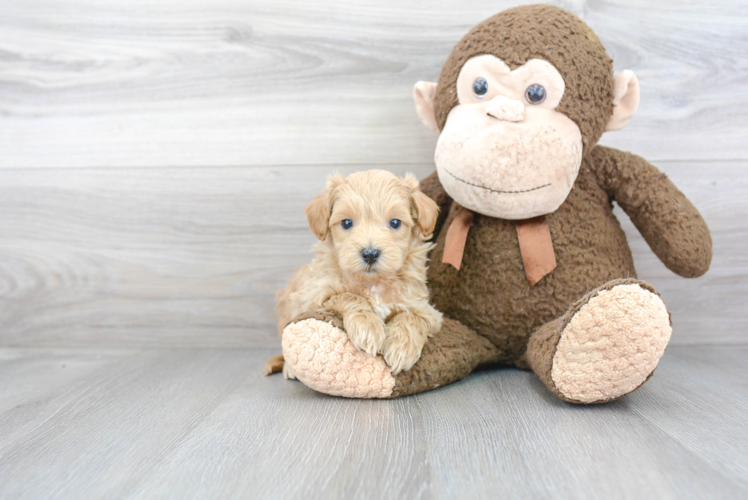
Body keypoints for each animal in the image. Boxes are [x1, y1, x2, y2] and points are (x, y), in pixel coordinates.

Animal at [274, 170, 442, 376]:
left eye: (395, 222)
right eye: (347, 223)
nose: (370, 254)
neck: (374, 283)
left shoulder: (426, 310)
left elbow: (412, 317)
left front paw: (401, 347)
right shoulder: (312, 296)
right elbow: (349, 296)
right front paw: (367, 328)